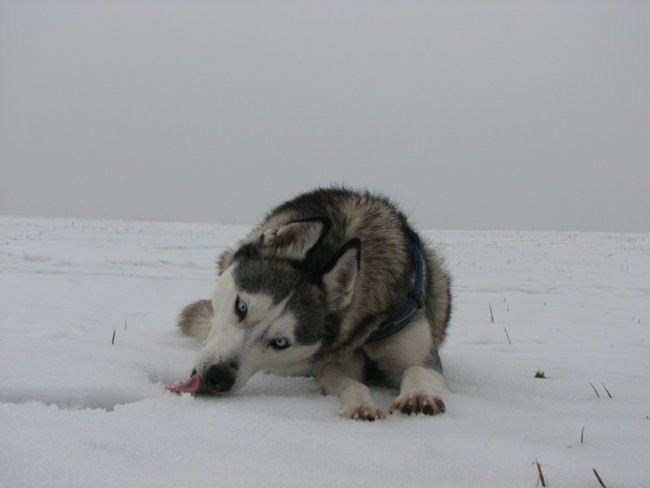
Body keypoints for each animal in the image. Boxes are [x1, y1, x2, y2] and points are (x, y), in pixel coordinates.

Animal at [167, 187, 450, 420]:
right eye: (241, 307)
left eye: (281, 343)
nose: (218, 377)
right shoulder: (332, 365)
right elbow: (351, 382)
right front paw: (360, 404)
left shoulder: (424, 358)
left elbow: (418, 370)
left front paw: (417, 394)